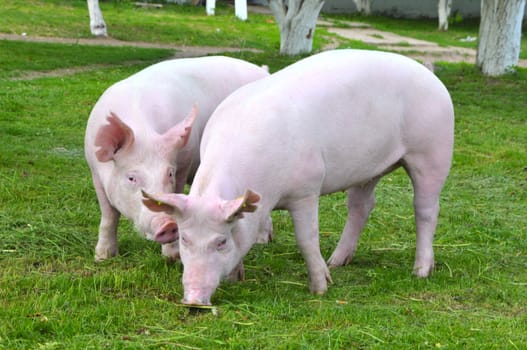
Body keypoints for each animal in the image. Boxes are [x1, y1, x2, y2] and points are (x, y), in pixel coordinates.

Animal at [86, 56, 270, 262]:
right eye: (131, 178)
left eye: (170, 174)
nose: (167, 225)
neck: (144, 134)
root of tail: (262, 70)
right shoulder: (95, 173)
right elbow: (109, 216)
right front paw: (102, 257)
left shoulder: (184, 163)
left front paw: (173, 257)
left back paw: (263, 241)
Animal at [142, 47, 456, 304]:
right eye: (184, 239)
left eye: (221, 241)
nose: (193, 300)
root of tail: (429, 74)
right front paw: (236, 278)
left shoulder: (307, 189)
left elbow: (307, 239)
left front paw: (321, 289)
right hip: (369, 168)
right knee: (362, 206)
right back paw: (337, 261)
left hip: (432, 150)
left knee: (427, 209)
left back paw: (420, 272)